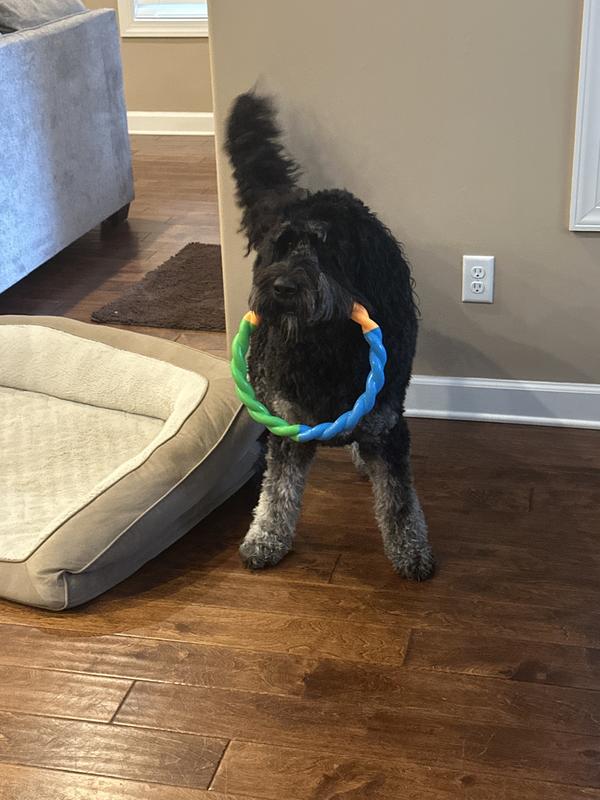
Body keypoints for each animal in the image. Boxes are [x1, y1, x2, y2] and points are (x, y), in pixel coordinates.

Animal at [225, 91, 434, 581]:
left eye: (326, 249)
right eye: (282, 246)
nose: (281, 288)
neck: (322, 350)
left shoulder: (388, 427)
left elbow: (398, 501)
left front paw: (411, 551)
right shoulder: (286, 428)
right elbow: (277, 491)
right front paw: (265, 538)